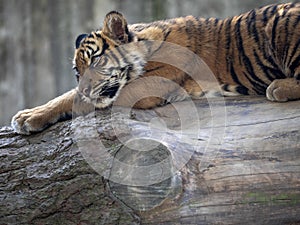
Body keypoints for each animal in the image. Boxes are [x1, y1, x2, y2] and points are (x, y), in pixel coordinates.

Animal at [10, 2, 300, 134]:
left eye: (96, 61)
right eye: (77, 71)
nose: (86, 86)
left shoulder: (150, 85)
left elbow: (76, 99)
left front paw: (27, 117)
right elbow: (68, 95)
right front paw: (29, 116)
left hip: (281, 24)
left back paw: (277, 87)